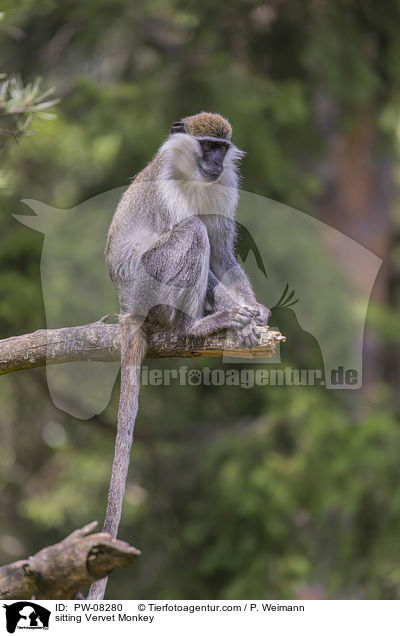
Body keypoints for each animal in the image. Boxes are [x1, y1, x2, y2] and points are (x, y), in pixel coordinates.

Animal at [89, 112, 270, 600]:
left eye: (221, 149)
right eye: (206, 145)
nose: (215, 162)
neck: (192, 175)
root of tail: (127, 310)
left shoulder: (226, 186)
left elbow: (223, 253)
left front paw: (254, 313)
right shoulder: (169, 191)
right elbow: (203, 249)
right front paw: (237, 314)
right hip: (148, 287)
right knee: (190, 234)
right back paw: (193, 327)